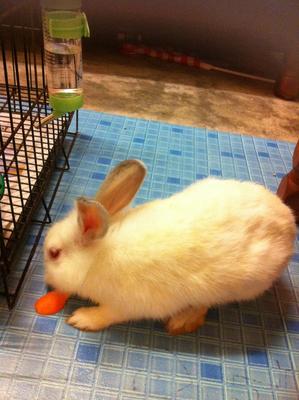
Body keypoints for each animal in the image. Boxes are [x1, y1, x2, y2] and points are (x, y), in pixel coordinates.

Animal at [44, 159, 298, 334]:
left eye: (53, 253)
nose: (47, 282)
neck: (95, 258)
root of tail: (289, 223)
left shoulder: (125, 305)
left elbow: (107, 315)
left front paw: (81, 318)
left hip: (237, 285)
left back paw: (182, 321)